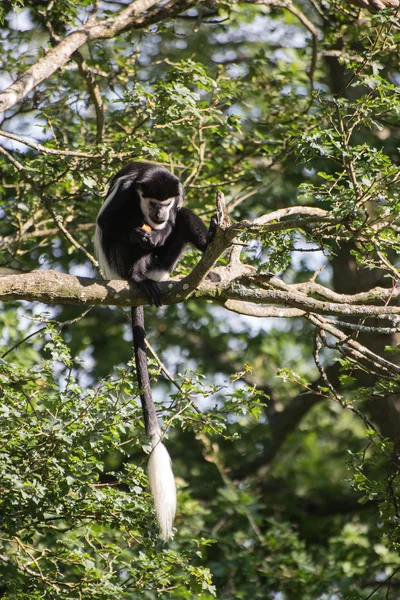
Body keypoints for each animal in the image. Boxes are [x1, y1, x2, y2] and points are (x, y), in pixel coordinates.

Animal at [94, 162, 216, 540]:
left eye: (164, 202)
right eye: (152, 202)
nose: (159, 214)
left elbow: (181, 216)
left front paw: (170, 230)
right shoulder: (126, 194)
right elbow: (108, 223)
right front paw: (141, 234)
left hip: (165, 264)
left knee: (182, 223)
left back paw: (208, 241)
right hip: (121, 264)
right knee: (120, 239)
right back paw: (138, 277)